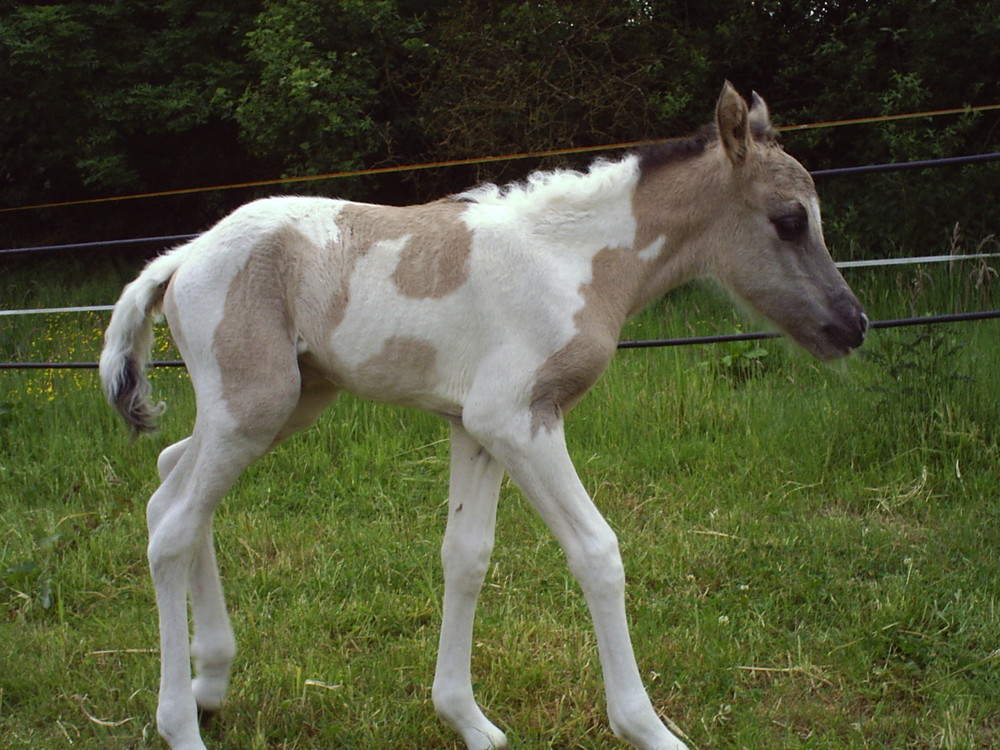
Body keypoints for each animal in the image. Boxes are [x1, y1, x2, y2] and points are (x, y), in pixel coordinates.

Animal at [103, 85, 868, 750]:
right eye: (790, 220)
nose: (852, 325)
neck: (572, 260)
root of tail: (180, 259)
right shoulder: (519, 419)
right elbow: (597, 552)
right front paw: (648, 729)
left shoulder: (473, 427)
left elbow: (466, 556)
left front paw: (465, 719)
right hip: (253, 406)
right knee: (173, 526)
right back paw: (181, 724)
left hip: (289, 400)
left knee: (172, 484)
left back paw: (211, 679)